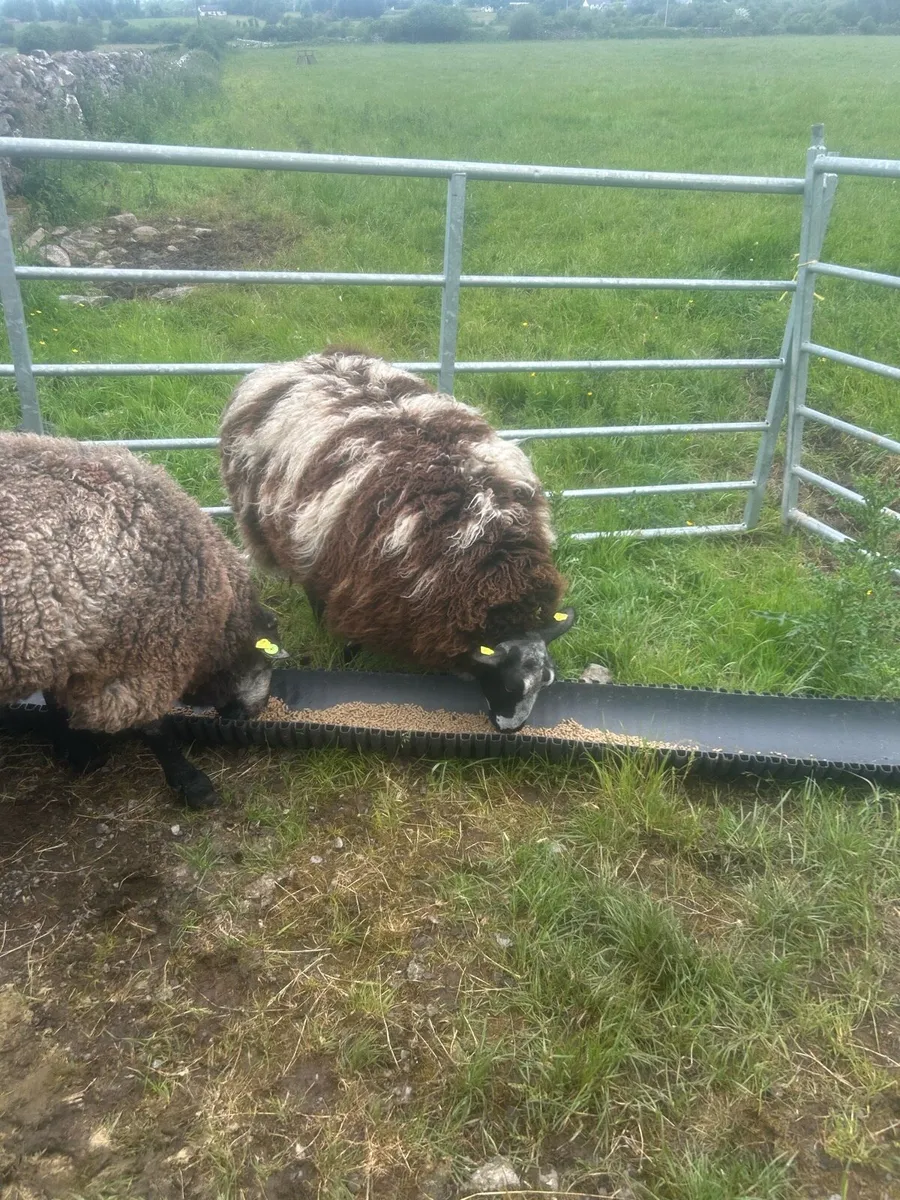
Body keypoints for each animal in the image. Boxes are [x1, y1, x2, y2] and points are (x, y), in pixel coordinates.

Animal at [0, 432, 286, 808]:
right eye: (267, 660)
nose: (259, 710)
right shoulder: (141, 653)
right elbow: (153, 726)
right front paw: (192, 784)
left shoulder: (61, 642)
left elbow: (54, 697)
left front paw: (76, 750)